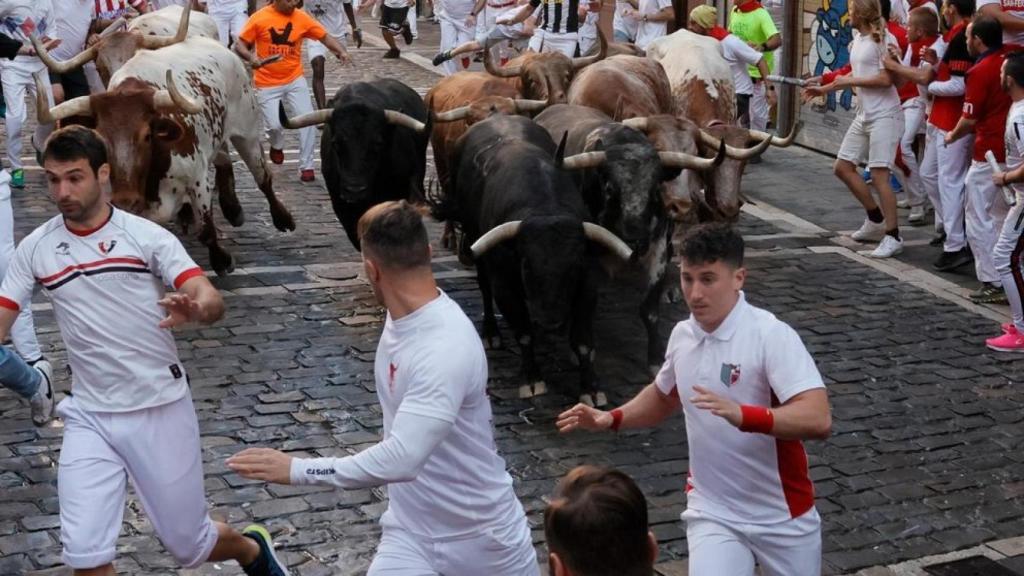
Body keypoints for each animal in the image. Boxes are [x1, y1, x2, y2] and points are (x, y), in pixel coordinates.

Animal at [36, 36, 292, 274]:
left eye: (147, 136)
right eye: (102, 137)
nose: (125, 200)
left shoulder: (198, 179)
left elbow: (206, 230)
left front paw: (222, 261)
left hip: (247, 132)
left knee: (263, 177)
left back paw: (283, 219)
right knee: (224, 159)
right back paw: (233, 209)